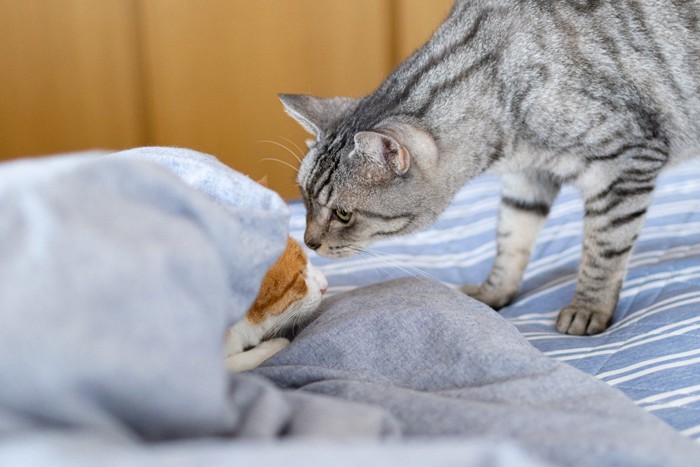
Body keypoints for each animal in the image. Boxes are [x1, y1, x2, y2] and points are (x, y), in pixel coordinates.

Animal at [278, 0, 700, 336]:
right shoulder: (527, 176)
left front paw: (588, 307)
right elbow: (512, 237)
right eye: (303, 198)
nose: (309, 242)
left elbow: (604, 248)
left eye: (343, 214)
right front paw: (494, 291)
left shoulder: (624, 163)